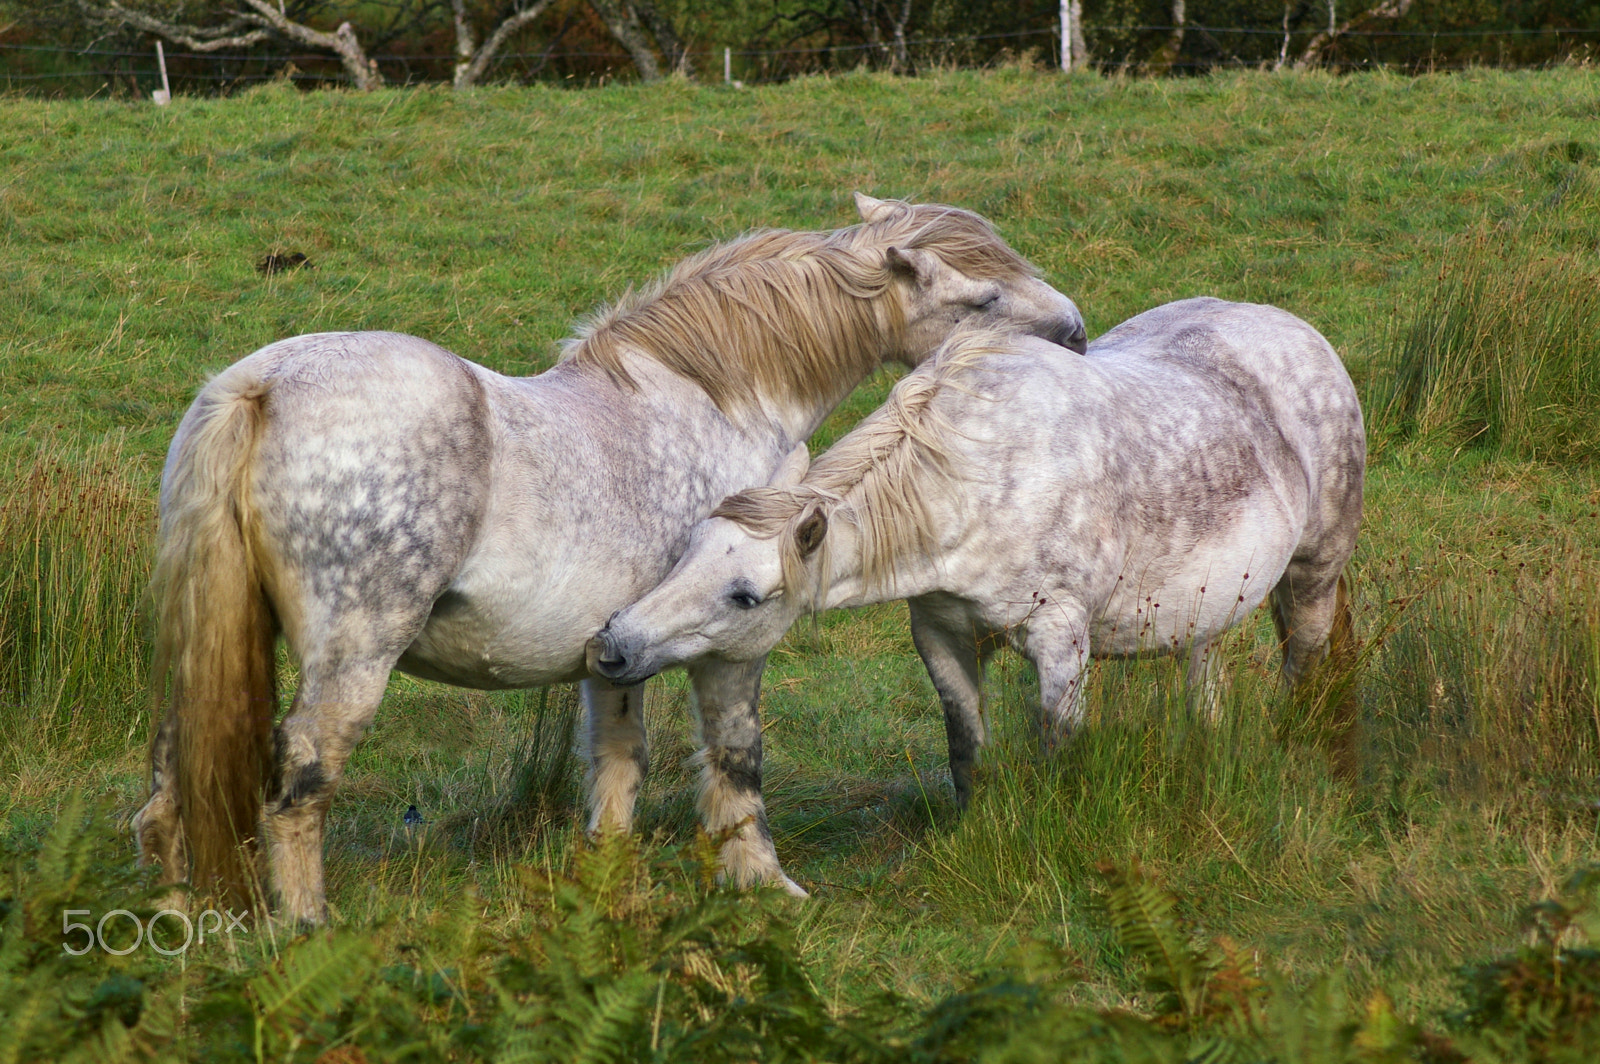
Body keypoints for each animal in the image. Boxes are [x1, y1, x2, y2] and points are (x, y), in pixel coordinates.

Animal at [140, 192, 1088, 921]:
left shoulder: (616, 649)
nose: (1077, 335)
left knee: (169, 792)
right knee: (298, 784)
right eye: (983, 298)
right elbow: (736, 757)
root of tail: (262, 387)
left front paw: (608, 882)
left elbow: (618, 766)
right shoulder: (729, 644)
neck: (714, 397)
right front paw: (765, 884)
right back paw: (308, 929)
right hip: (352, 659)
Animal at [588, 296, 1363, 812]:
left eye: (744, 595)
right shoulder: (941, 631)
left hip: (1314, 575)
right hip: (1208, 607)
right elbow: (966, 745)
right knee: (1206, 673)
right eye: (685, 551)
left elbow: (1058, 745)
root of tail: (1301, 332)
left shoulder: (1060, 641)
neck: (974, 480)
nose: (613, 647)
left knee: (1304, 664)